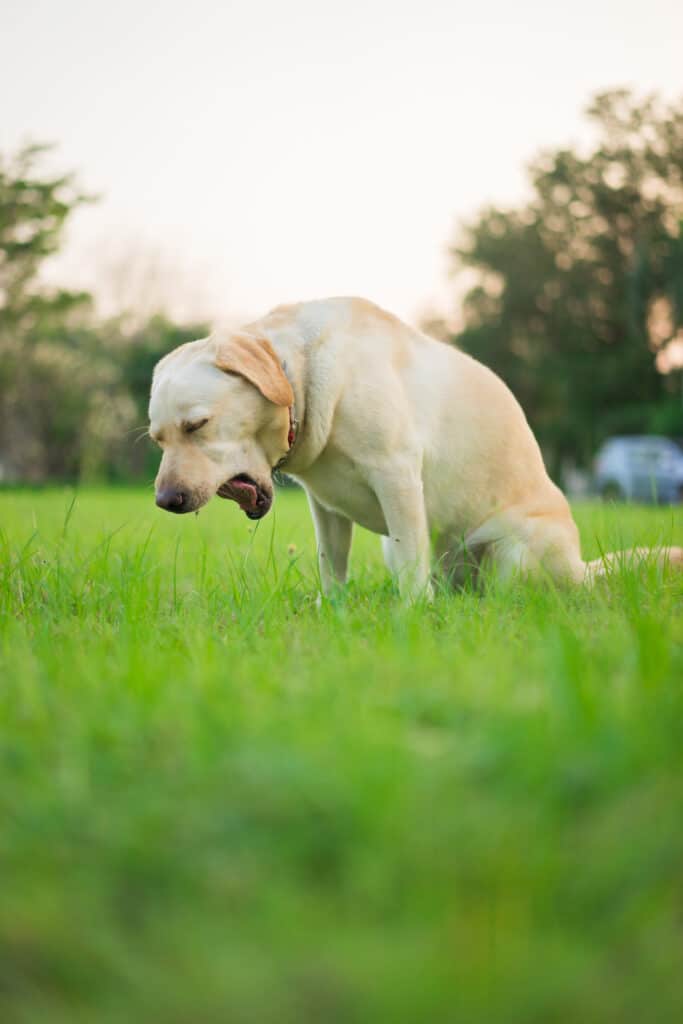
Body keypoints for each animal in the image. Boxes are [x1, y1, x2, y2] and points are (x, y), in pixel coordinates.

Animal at [147, 294, 679, 598]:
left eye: (197, 425)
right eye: (158, 438)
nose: (166, 501)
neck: (298, 373)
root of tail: (581, 571)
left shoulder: (397, 475)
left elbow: (408, 566)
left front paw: (408, 618)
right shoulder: (326, 508)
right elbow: (331, 565)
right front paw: (332, 611)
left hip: (515, 552)